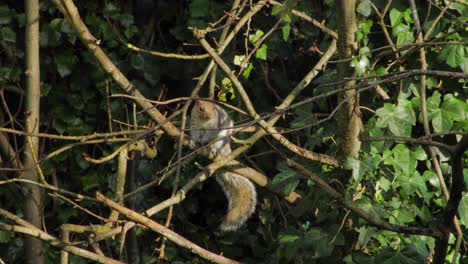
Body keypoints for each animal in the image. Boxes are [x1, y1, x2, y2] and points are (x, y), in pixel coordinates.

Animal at [189, 99, 258, 231]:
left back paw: (212, 148)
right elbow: (194, 135)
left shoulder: (214, 127)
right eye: (200, 109)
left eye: (214, 109)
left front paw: (204, 141)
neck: (203, 122)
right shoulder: (194, 126)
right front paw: (193, 142)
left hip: (221, 139)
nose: (208, 116)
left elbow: (209, 135)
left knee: (214, 142)